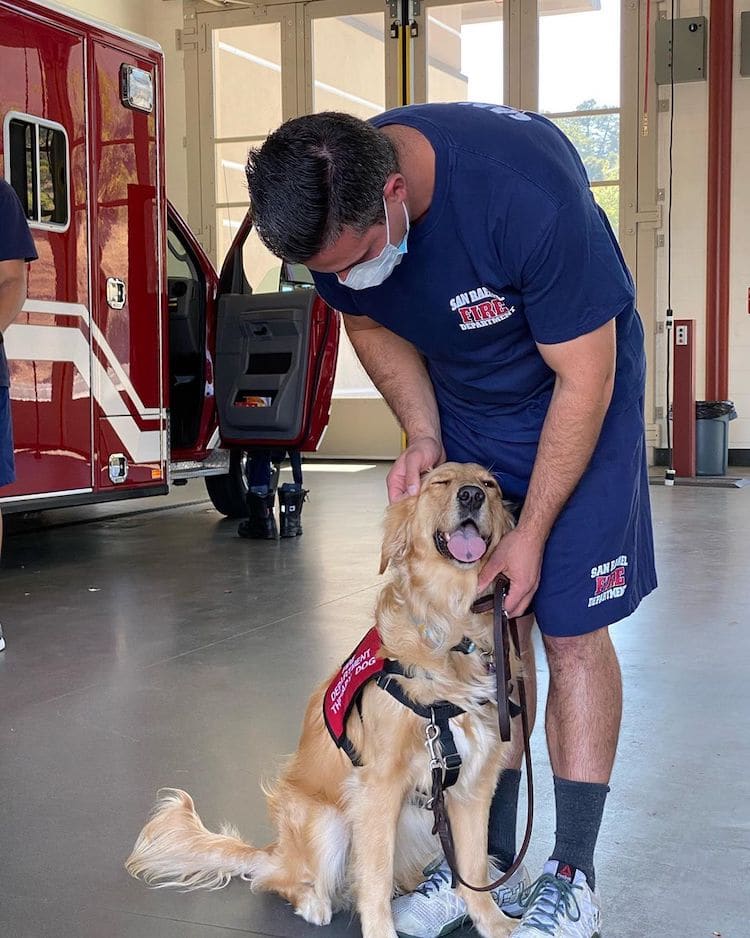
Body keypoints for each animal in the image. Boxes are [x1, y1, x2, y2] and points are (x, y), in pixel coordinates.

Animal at [126, 460, 520, 936]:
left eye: (490, 485)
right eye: (438, 483)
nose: (471, 496)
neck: (450, 626)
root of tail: (273, 850)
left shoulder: (474, 783)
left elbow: (475, 869)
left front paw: (496, 924)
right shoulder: (377, 787)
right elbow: (374, 879)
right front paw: (381, 929)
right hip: (325, 821)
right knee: (279, 880)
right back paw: (313, 901)